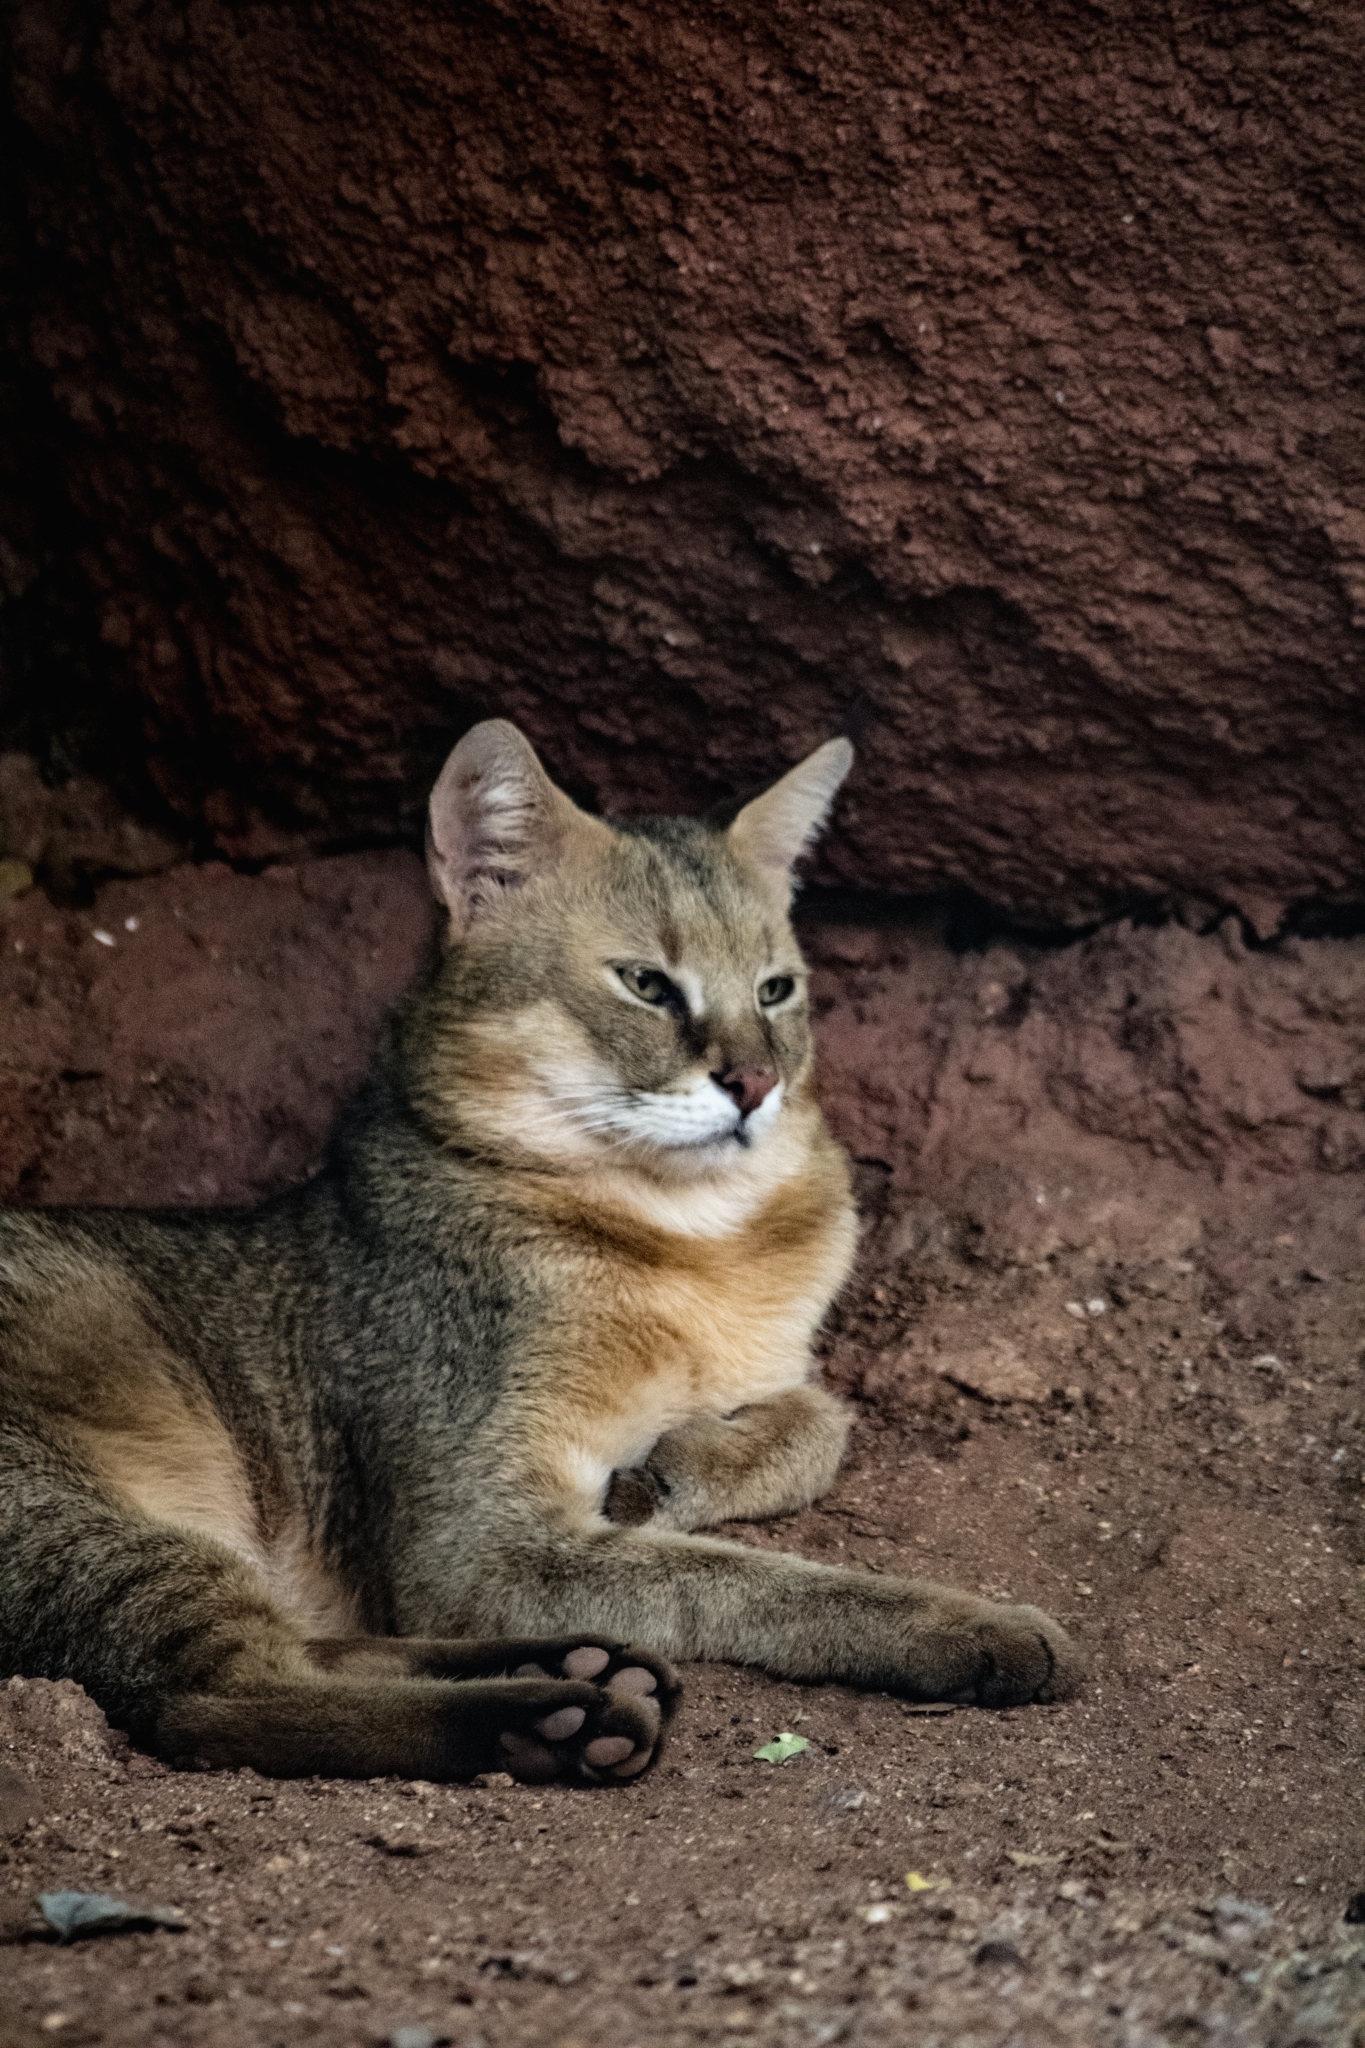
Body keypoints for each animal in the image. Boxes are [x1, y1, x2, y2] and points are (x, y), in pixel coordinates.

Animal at [0, 722, 1080, 1785]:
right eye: (646, 983)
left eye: (777, 990)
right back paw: (548, 1716)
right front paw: (971, 1623)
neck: (706, 1250)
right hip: (87, 1520)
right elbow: (755, 1582)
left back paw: (576, 1664)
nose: (756, 1081)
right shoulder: (473, 1540)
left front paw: (676, 1466)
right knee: (216, 1697)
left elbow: (824, 1420)